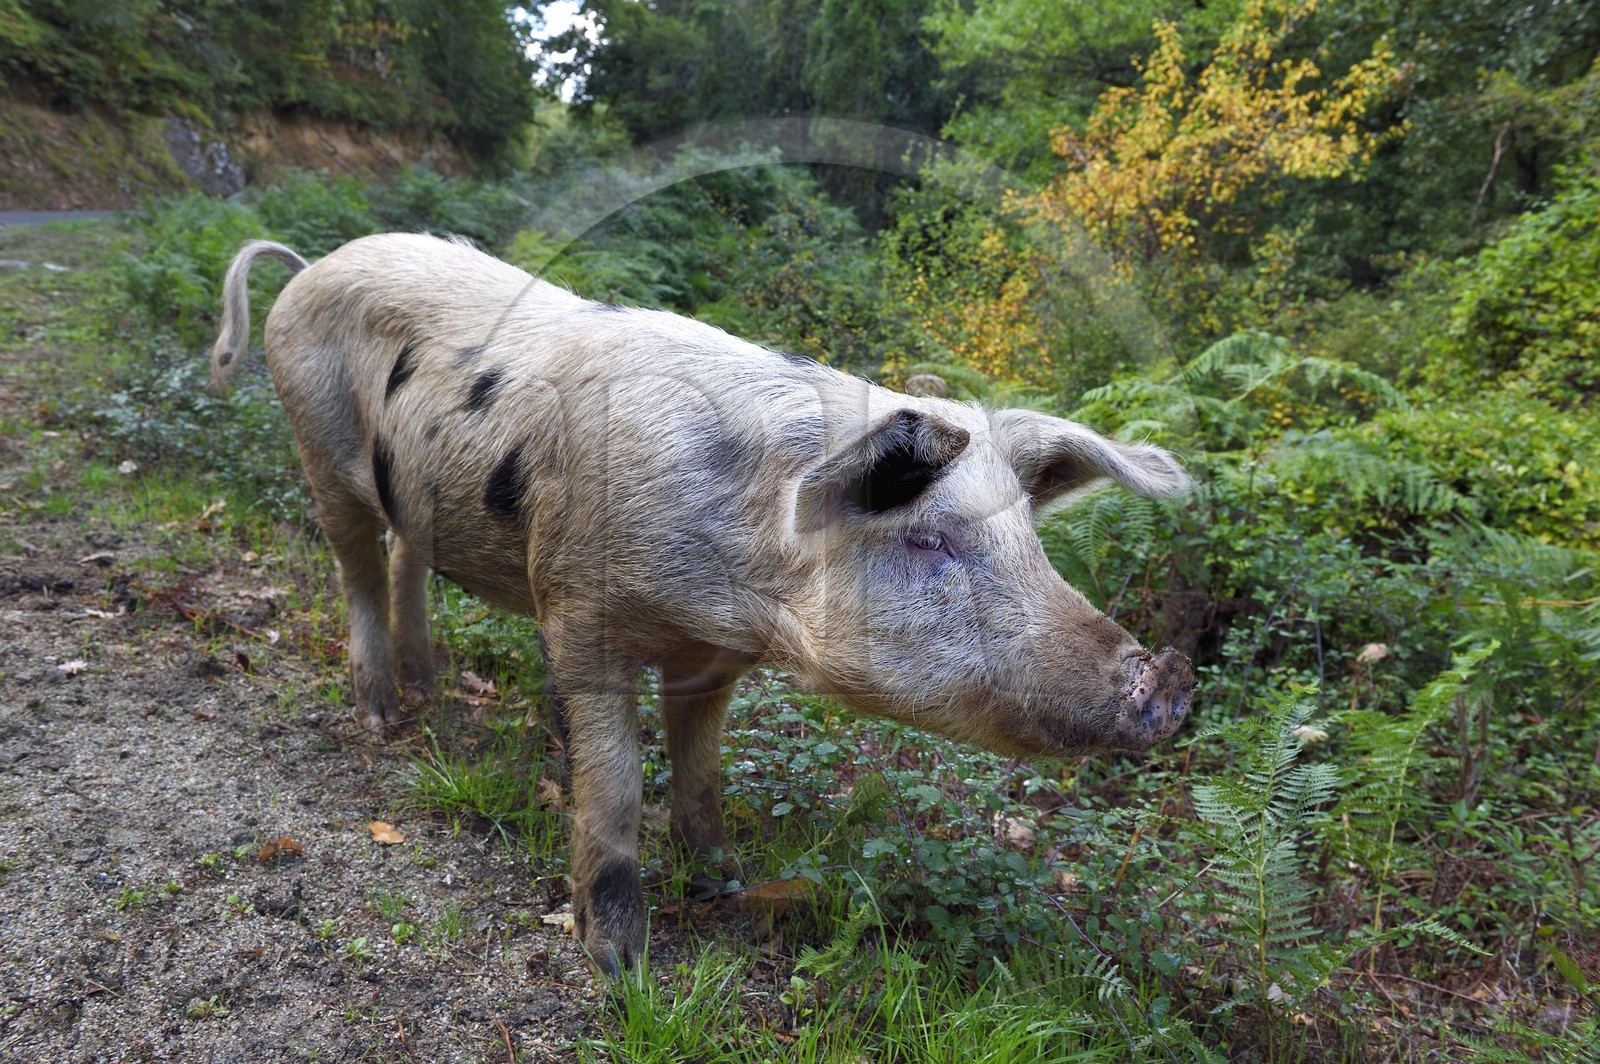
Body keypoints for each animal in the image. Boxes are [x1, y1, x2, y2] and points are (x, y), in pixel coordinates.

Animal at [208, 233, 1195, 975]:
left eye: (1031, 539)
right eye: (928, 538)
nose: (1169, 676)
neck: (726, 594)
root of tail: (312, 265)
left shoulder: (717, 663)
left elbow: (703, 774)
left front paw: (723, 881)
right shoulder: (578, 615)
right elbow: (612, 788)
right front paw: (620, 964)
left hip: (419, 490)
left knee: (407, 556)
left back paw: (428, 688)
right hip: (315, 442)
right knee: (356, 569)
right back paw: (382, 716)